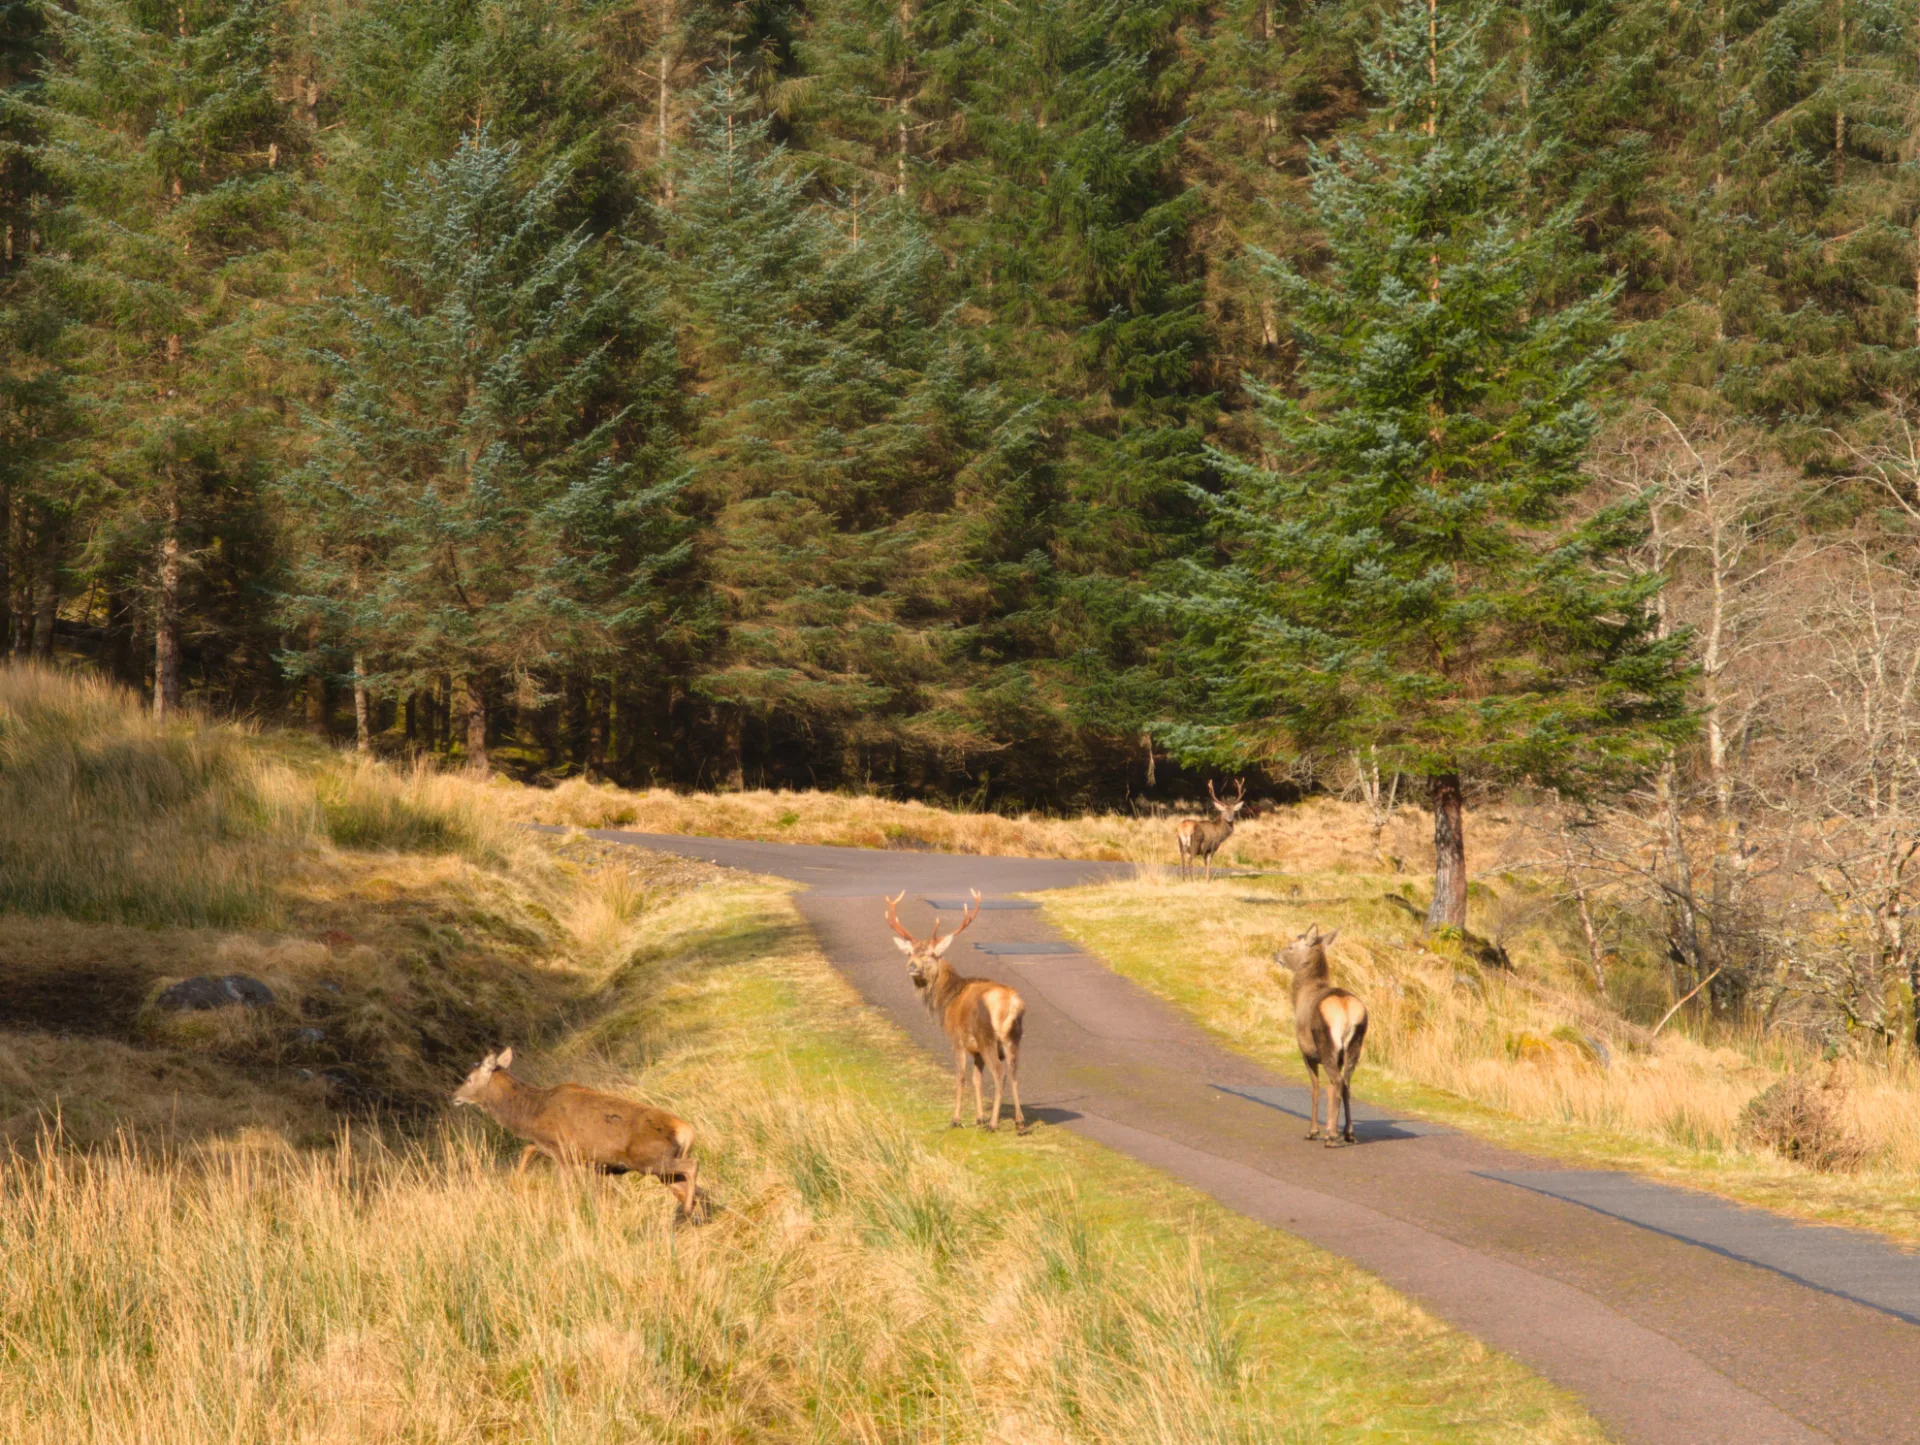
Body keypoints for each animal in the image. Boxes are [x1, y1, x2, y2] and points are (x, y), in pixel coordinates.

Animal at [452, 1048, 700, 1215]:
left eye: (469, 1078)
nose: (454, 1096)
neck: (531, 1113)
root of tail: (685, 1130)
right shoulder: (549, 1145)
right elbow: (528, 1148)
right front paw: (517, 1178)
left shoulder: (563, 1149)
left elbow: (564, 1184)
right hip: (661, 1170)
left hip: (650, 1159)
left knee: (693, 1165)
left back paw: (688, 1208)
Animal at [884, 889, 1028, 1134]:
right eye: (909, 953)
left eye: (932, 954)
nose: (911, 966)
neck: (947, 999)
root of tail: (1012, 1003)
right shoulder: (976, 1050)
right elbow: (976, 1079)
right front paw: (979, 1117)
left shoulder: (958, 1039)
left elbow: (960, 1078)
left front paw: (956, 1119)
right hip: (1013, 1038)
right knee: (1014, 1073)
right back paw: (1019, 1122)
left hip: (988, 1037)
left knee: (1000, 1074)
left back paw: (994, 1124)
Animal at [1276, 926, 1368, 1146]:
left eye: (1291, 946)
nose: (1276, 955)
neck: (1300, 997)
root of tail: (1346, 1010)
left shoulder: (1306, 1052)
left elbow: (1315, 1088)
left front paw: (1312, 1131)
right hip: (1354, 1046)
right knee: (1346, 1083)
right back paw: (1348, 1133)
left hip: (1327, 1044)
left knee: (1336, 1081)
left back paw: (1331, 1135)